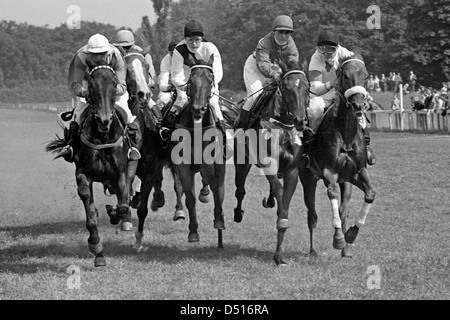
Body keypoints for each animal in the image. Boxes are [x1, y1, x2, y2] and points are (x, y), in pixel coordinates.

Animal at [46, 55, 136, 268]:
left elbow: (123, 203)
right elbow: (90, 209)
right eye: (92, 85)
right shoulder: (83, 173)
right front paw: (97, 249)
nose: (104, 120)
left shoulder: (120, 174)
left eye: (114, 84)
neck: (103, 137)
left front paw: (115, 213)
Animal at [171, 54, 229, 248]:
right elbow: (189, 197)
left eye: (210, 81)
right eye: (191, 80)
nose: (198, 109)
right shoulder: (183, 166)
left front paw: (219, 220)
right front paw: (193, 232)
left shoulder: (215, 164)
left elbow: (218, 191)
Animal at [225, 63, 310, 264]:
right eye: (286, 88)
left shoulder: (292, 170)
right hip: (243, 163)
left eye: (307, 87)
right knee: (240, 190)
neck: (282, 126)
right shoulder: (268, 163)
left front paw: (280, 254)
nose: (300, 120)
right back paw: (238, 214)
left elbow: (284, 198)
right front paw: (278, 254)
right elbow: (280, 192)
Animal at [298, 53, 376, 258]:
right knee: (312, 214)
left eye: (366, 76)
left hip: (345, 182)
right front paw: (339, 238)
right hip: (307, 177)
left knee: (343, 208)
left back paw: (346, 249)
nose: (359, 104)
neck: (346, 134)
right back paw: (313, 249)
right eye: (345, 75)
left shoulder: (357, 172)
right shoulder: (329, 171)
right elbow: (331, 193)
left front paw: (350, 236)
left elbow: (370, 194)